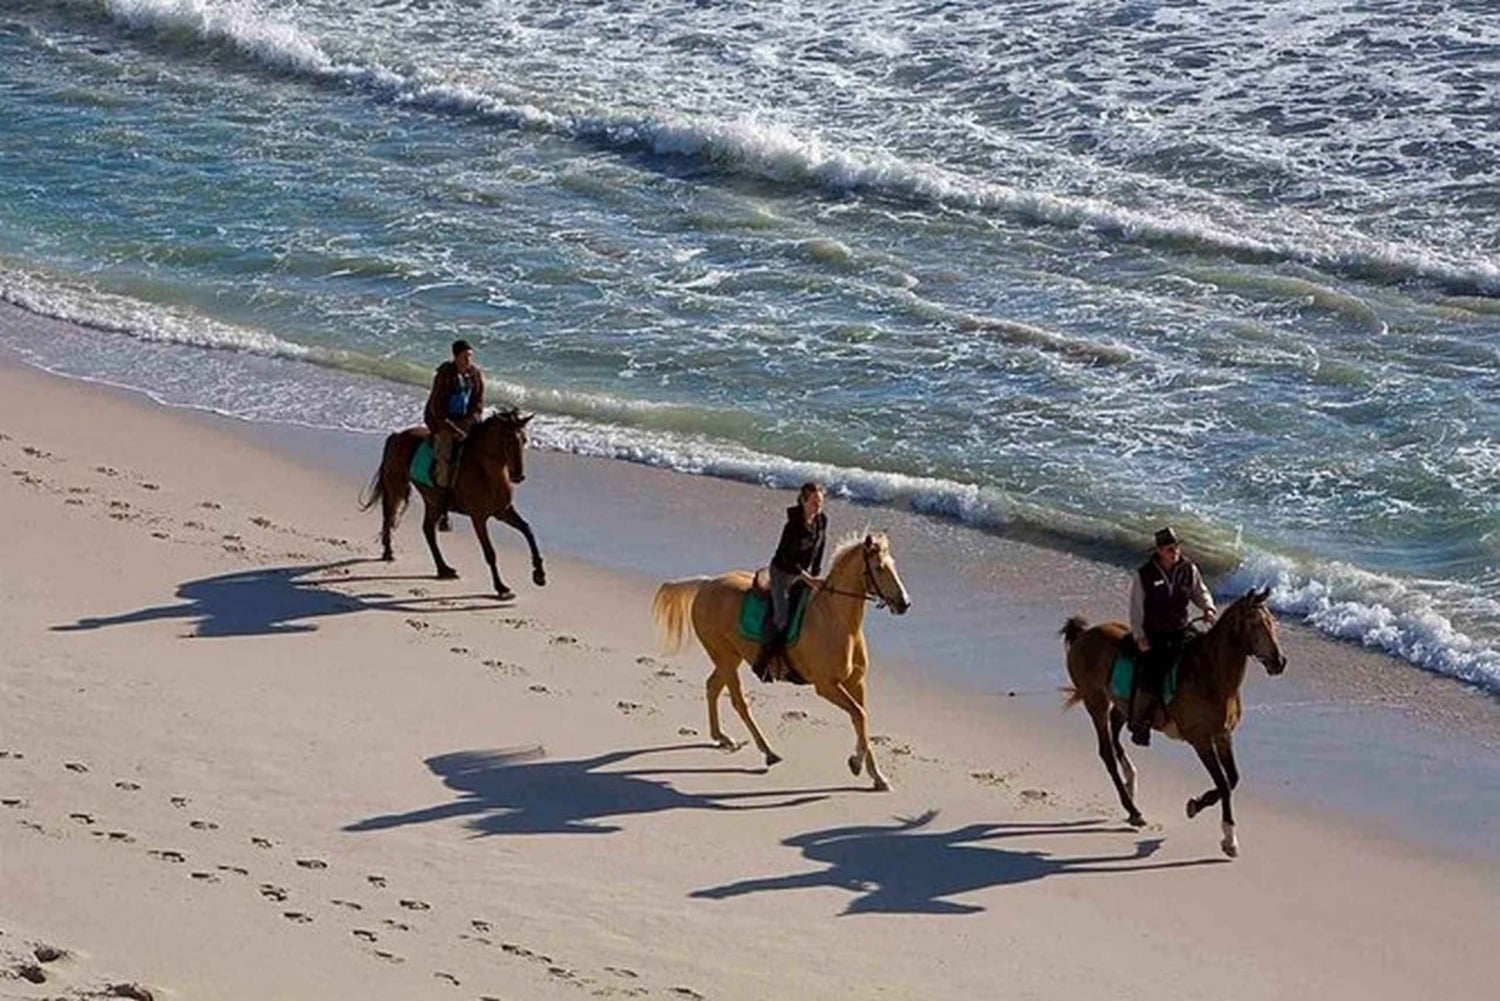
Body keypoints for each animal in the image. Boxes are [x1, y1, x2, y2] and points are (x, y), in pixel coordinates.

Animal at [360, 409, 546, 601]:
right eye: (508, 439)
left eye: (524, 439)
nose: (518, 476)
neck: (486, 471)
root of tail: (397, 435)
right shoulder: (478, 518)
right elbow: (490, 552)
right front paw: (501, 588)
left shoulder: (504, 511)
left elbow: (528, 531)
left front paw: (539, 575)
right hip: (396, 486)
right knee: (389, 516)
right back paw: (389, 552)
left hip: (432, 501)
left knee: (427, 530)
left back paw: (444, 569)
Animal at [652, 533, 911, 791]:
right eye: (879, 568)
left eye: (893, 565)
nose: (904, 603)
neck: (836, 619)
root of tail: (706, 585)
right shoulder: (826, 686)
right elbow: (859, 715)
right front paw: (856, 763)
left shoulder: (856, 682)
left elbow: (862, 720)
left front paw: (877, 776)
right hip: (724, 656)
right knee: (738, 702)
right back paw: (768, 752)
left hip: (730, 658)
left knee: (713, 687)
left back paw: (722, 738)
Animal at [1059, 587, 1286, 858]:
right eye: (1254, 624)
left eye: (1271, 622)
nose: (1279, 662)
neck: (1212, 676)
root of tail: (1083, 634)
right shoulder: (1201, 739)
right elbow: (1222, 783)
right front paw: (1228, 838)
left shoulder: (1223, 735)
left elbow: (1232, 779)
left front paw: (1196, 805)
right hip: (1096, 702)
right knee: (1106, 752)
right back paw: (1133, 810)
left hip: (1122, 705)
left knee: (1116, 732)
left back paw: (1130, 779)